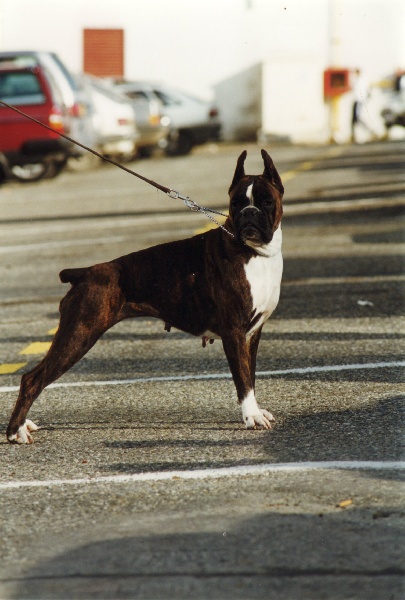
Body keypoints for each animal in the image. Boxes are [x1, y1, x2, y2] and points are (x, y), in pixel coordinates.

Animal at [7, 149, 284, 440]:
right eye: (236, 203)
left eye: (266, 201)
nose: (249, 212)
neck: (255, 253)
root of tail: (86, 272)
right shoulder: (234, 332)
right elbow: (242, 380)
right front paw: (251, 417)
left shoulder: (251, 334)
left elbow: (250, 376)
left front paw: (256, 411)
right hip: (78, 334)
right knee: (32, 379)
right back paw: (16, 432)